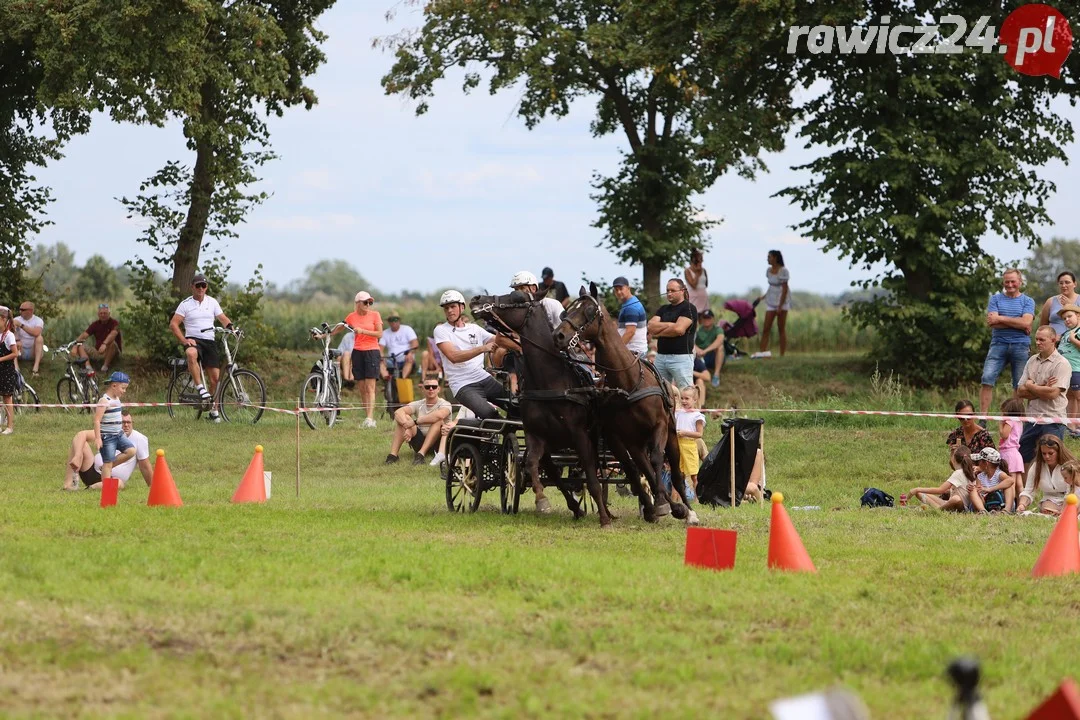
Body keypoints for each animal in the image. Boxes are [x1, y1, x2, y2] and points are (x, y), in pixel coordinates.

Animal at [466, 289, 643, 528]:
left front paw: (604, 519)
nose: (477, 300)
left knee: (611, 468)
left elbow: (591, 477)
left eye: (516, 298)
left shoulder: (579, 436)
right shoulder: (537, 437)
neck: (549, 382)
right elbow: (536, 467)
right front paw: (546, 502)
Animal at [552, 284, 704, 526]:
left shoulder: (660, 426)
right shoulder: (623, 438)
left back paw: (688, 511)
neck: (628, 383)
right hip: (626, 442)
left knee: (675, 473)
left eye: (588, 311)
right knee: (640, 469)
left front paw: (671, 506)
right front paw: (658, 505)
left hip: (672, 435)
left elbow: (657, 459)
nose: (558, 335)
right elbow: (638, 470)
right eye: (566, 311)